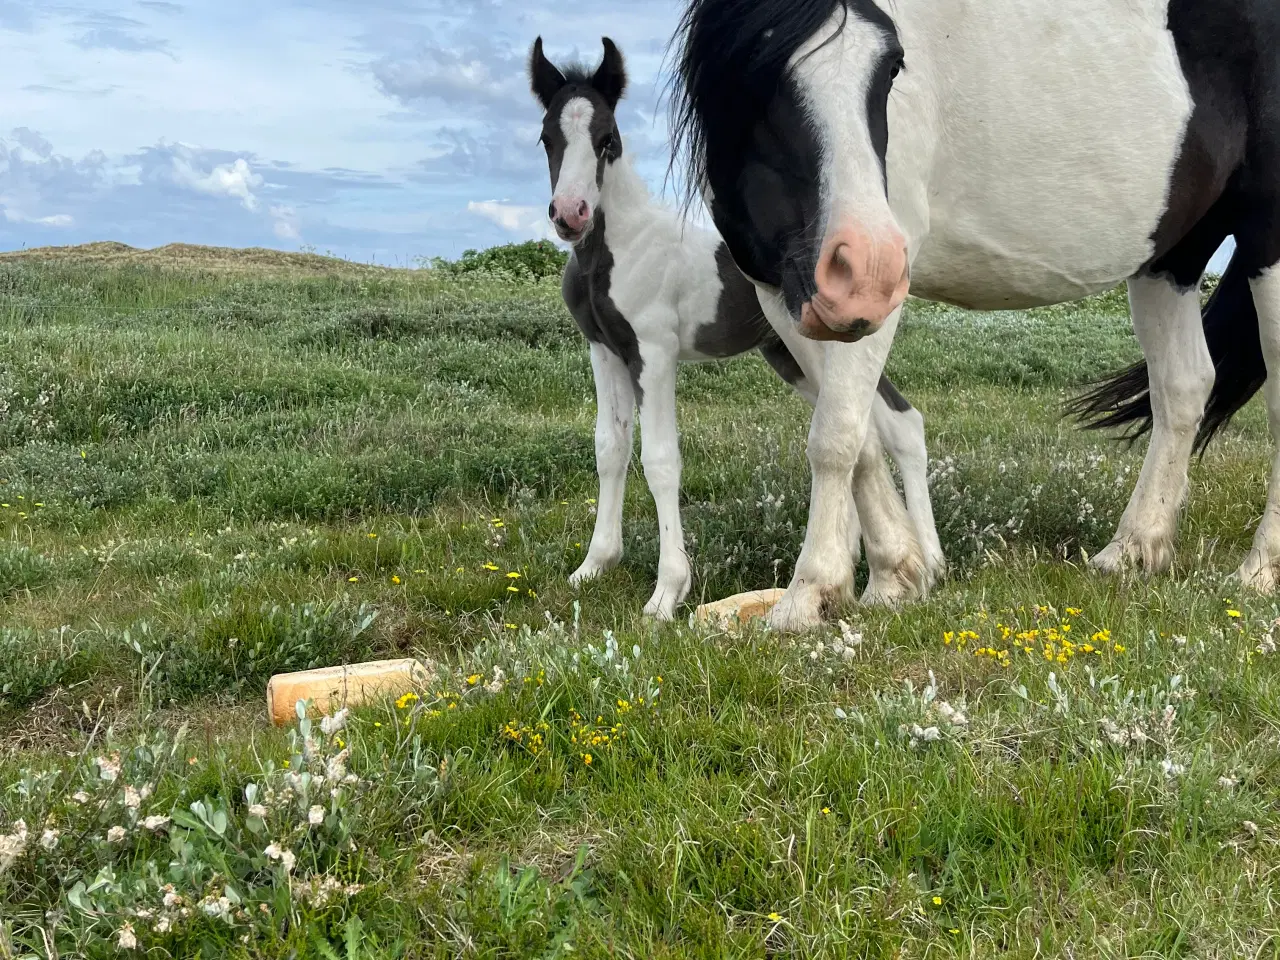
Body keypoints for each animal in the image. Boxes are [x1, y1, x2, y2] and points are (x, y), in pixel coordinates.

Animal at [524, 37, 947, 619]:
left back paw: (927, 563)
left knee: (897, 424)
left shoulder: (653, 352)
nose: (571, 214)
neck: (618, 246)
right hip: (789, 358)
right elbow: (610, 449)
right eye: (547, 137)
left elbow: (660, 458)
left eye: (607, 138)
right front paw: (593, 567)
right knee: (880, 426)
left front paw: (666, 593)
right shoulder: (604, 349)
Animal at [670, 0, 1280, 632]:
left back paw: (1259, 569)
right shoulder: (782, 290)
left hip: (1266, 235)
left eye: (892, 66)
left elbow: (835, 435)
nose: (867, 266)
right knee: (1184, 387)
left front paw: (810, 593)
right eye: (758, 60)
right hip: (1170, 256)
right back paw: (1133, 550)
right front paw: (895, 576)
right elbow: (860, 436)